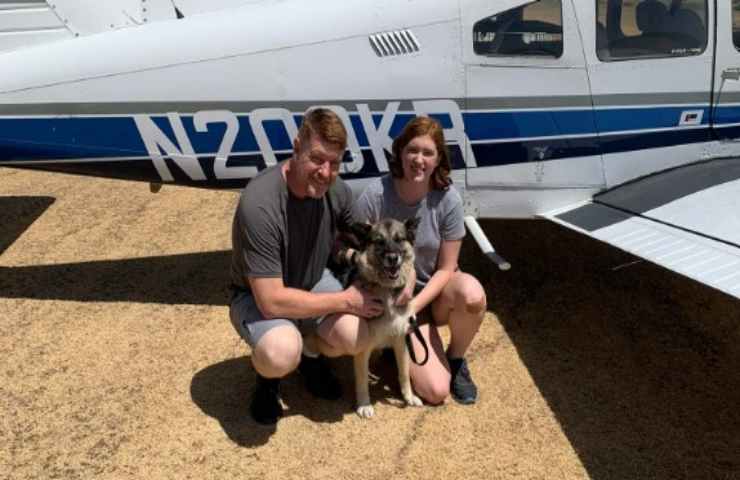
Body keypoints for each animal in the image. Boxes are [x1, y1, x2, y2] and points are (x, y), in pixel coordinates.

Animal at [342, 218, 422, 420]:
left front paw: (409, 397)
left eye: (399, 239)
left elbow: (404, 373)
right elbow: (362, 380)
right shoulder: (363, 349)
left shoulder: (401, 341)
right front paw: (364, 405)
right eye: (379, 241)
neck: (385, 288)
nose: (393, 258)